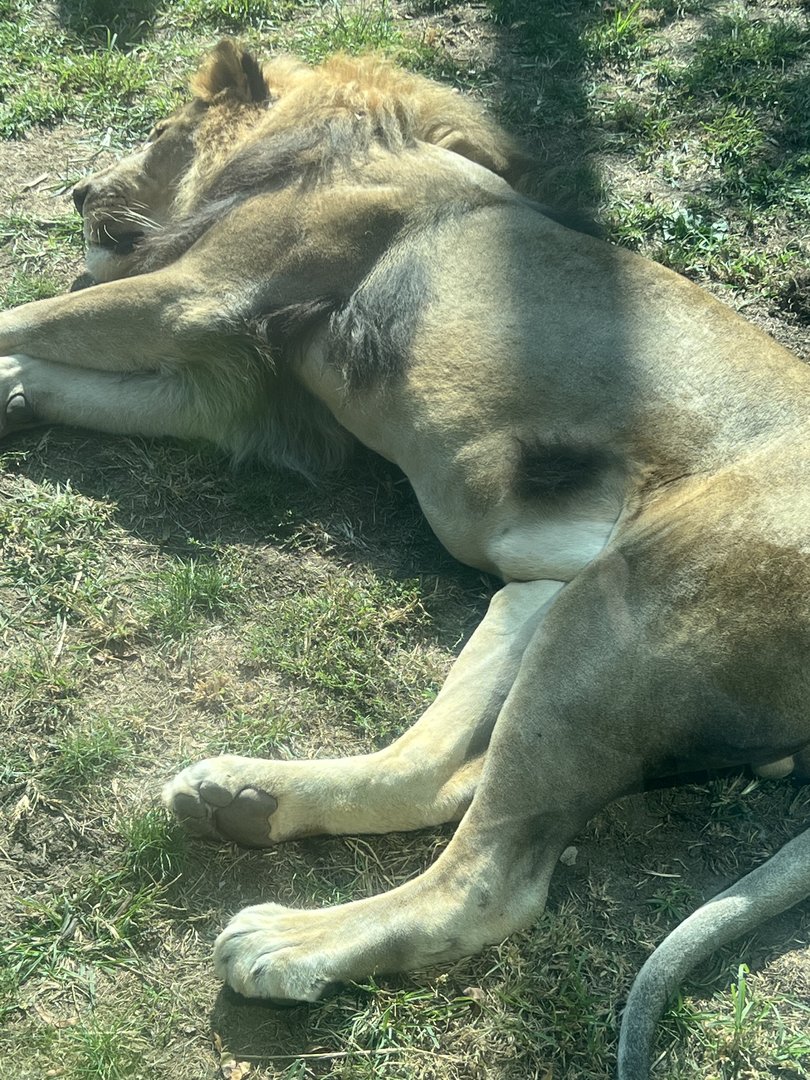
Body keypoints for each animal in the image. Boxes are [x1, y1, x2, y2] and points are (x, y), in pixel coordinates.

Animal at [1, 39, 808, 1079]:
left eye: (163, 132)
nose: (75, 190)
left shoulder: (193, 298)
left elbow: (23, 313)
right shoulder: (231, 386)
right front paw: (18, 392)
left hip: (628, 606)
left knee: (488, 880)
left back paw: (287, 942)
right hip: (548, 597)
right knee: (433, 773)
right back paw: (244, 799)